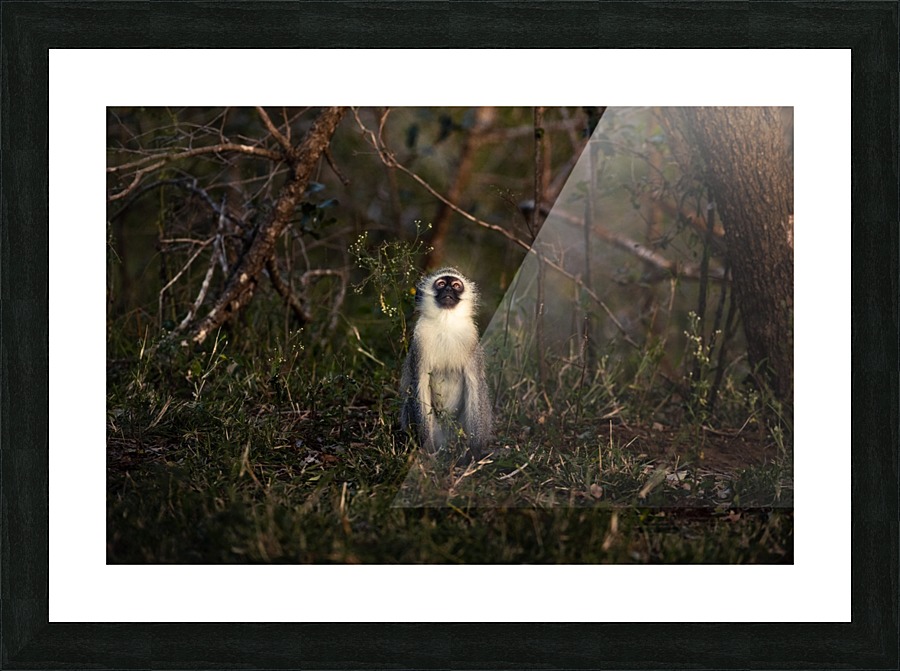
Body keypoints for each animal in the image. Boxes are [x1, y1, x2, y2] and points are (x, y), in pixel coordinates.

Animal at [399, 267, 492, 457]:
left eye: (456, 285)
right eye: (441, 284)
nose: (449, 289)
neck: (446, 322)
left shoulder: (471, 340)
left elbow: (475, 384)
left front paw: (474, 451)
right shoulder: (420, 343)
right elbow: (419, 383)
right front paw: (427, 451)